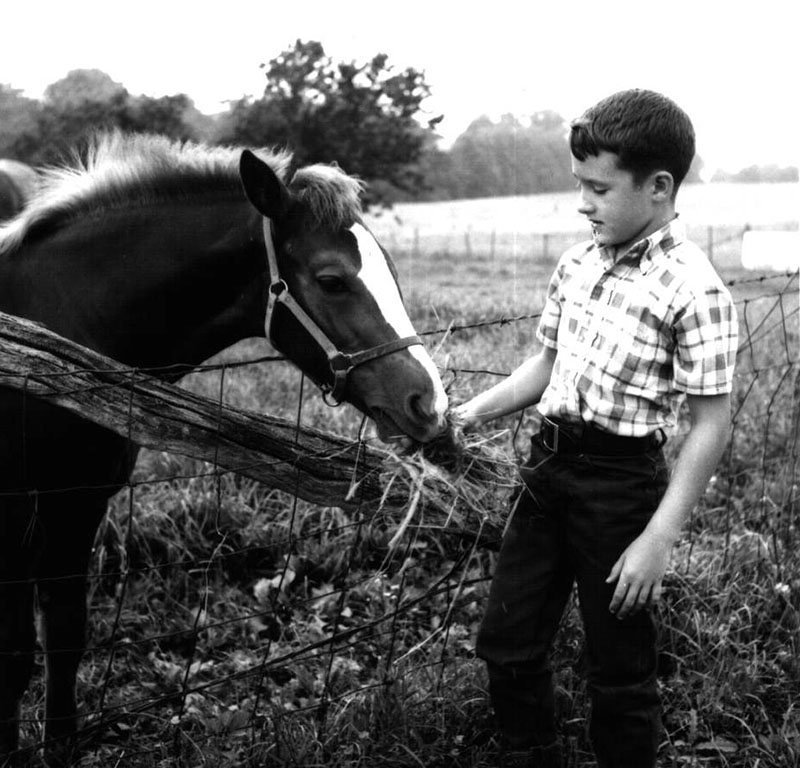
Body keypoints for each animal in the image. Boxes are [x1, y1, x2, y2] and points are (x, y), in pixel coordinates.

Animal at [0, 130, 450, 760]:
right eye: (332, 280)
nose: (428, 403)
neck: (51, 331)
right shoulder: (18, 515)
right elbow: (16, 658)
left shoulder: (77, 505)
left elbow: (64, 639)